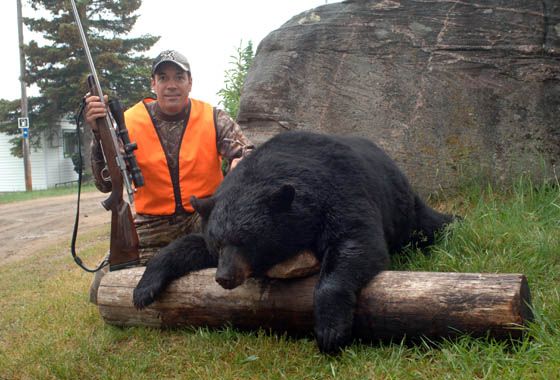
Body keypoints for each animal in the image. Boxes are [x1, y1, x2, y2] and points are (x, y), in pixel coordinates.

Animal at [133, 131, 458, 354]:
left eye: (247, 240)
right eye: (219, 243)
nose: (224, 277)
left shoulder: (342, 191)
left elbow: (357, 243)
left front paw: (330, 331)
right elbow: (185, 245)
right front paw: (142, 290)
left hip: (401, 204)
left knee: (424, 224)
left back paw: (452, 225)